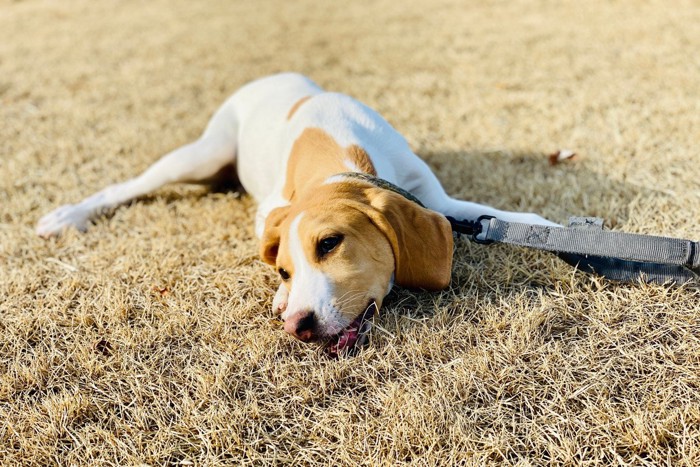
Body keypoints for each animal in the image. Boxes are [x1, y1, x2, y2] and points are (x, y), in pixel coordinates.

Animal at [37, 73, 556, 354]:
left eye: (330, 243)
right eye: (284, 269)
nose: (298, 326)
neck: (340, 154)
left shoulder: (437, 201)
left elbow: (493, 213)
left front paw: (551, 227)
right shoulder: (270, 211)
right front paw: (282, 297)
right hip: (201, 155)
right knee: (127, 186)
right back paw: (67, 217)